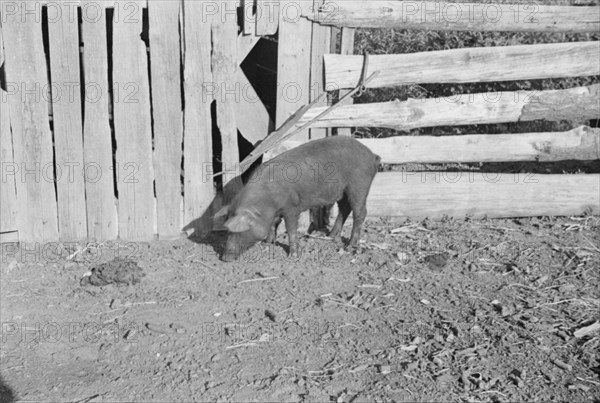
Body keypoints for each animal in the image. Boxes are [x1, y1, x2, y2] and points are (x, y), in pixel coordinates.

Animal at [214, 136, 380, 262]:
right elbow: (273, 225)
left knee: (360, 212)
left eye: (237, 231)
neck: (266, 202)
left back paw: (349, 246)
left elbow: (291, 228)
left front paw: (293, 255)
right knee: (344, 209)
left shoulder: (292, 207)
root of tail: (372, 155)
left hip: (359, 184)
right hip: (342, 191)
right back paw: (328, 236)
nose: (224, 258)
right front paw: (267, 244)